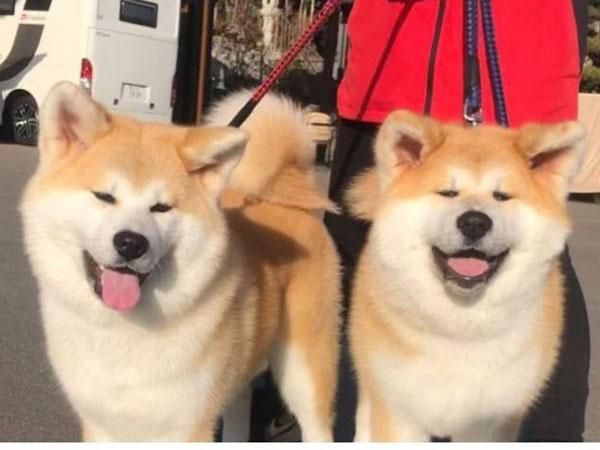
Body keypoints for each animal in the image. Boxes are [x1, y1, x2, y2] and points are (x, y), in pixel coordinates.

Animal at [20, 83, 340, 441]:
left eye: (161, 208)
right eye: (104, 196)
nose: (131, 243)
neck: (124, 328)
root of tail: (283, 199)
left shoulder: (188, 424)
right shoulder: (102, 421)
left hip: (303, 371)